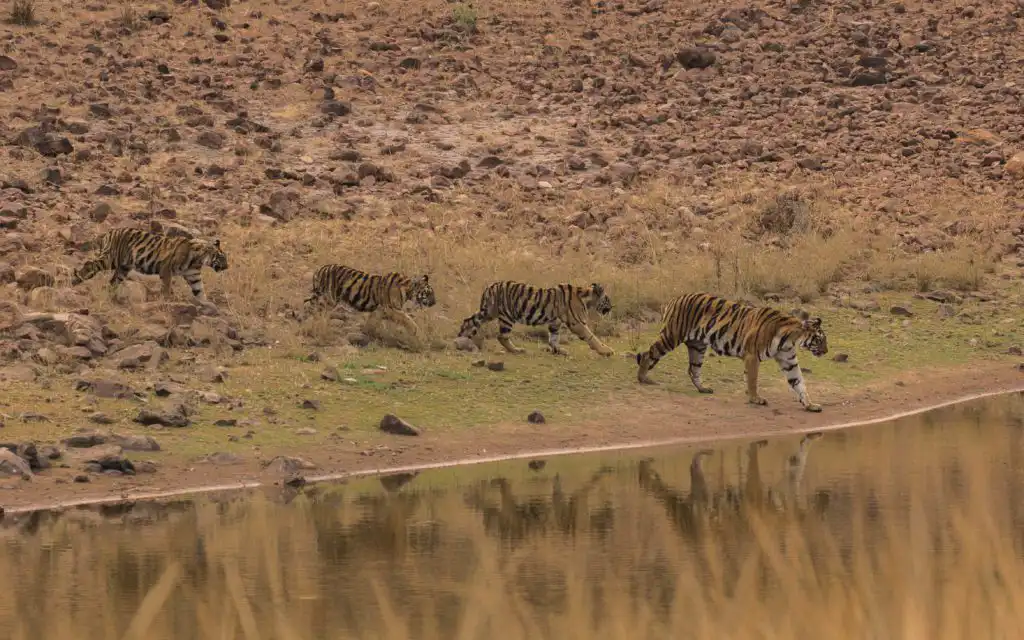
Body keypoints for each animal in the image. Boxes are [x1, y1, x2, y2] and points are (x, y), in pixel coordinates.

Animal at [71, 227, 228, 304]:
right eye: (222, 257)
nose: (227, 267)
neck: (198, 260)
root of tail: (109, 232)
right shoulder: (166, 269)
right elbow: (166, 287)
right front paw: (167, 300)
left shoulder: (193, 276)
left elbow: (199, 291)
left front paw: (207, 305)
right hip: (110, 259)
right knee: (90, 264)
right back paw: (75, 279)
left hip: (123, 268)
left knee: (113, 281)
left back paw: (113, 297)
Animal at [303, 264, 436, 337]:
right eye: (428, 293)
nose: (434, 303)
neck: (408, 290)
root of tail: (319, 270)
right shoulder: (391, 309)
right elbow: (407, 319)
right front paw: (417, 333)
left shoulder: (380, 310)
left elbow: (372, 321)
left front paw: (367, 332)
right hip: (329, 299)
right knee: (317, 311)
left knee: (310, 306)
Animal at [458, 280, 615, 357]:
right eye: (607, 299)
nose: (612, 307)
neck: (587, 298)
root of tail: (489, 287)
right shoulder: (577, 323)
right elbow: (591, 337)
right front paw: (606, 351)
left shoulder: (555, 323)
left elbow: (553, 339)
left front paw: (560, 351)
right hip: (507, 316)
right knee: (502, 336)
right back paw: (517, 350)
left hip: (489, 312)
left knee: (469, 320)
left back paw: (461, 337)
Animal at [635, 293, 828, 412]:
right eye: (820, 339)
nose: (826, 351)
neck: (790, 340)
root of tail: (675, 298)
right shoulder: (752, 356)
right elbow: (753, 380)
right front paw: (755, 399)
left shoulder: (789, 361)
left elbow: (799, 382)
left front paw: (810, 404)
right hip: (671, 336)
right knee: (647, 354)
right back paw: (643, 379)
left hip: (698, 346)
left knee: (693, 369)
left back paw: (703, 389)